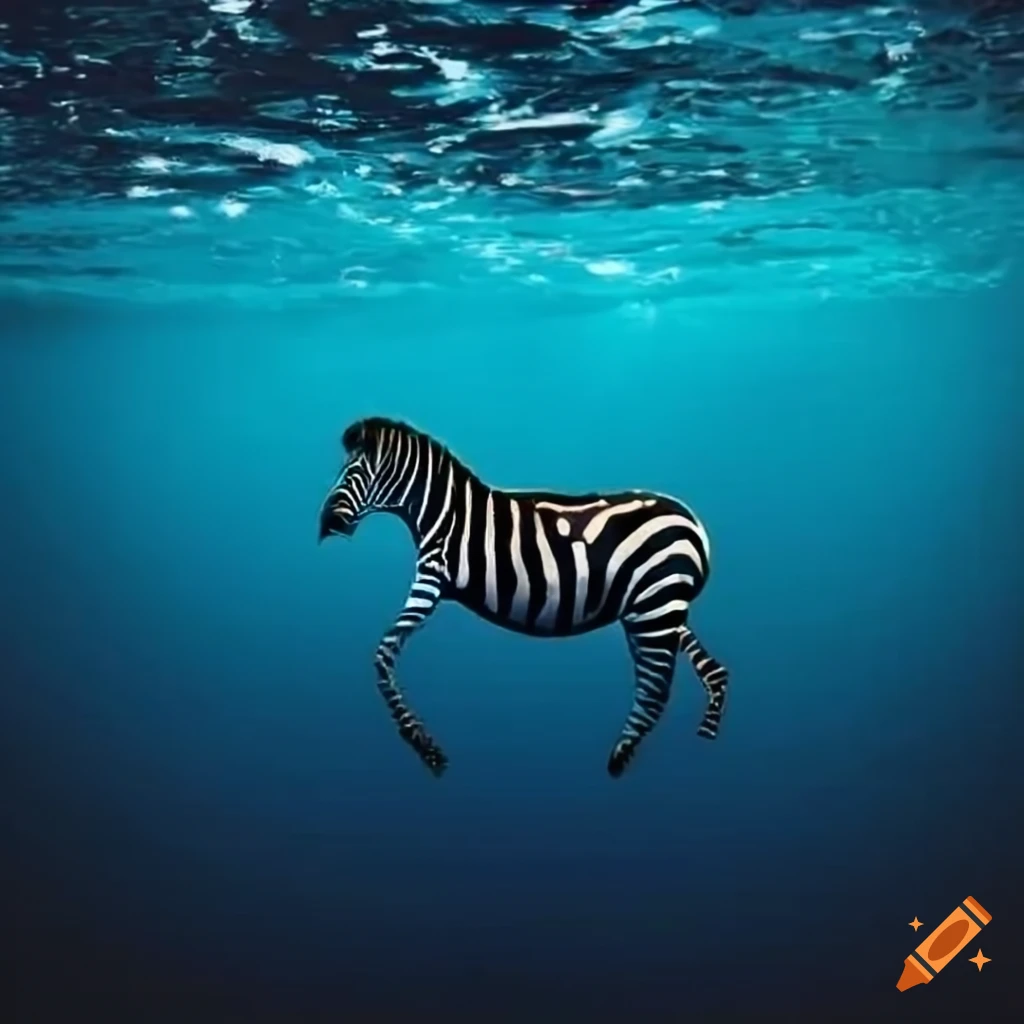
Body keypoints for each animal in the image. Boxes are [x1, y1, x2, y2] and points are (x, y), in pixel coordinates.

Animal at [318, 417, 728, 778]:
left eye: (351, 473)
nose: (324, 527)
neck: (444, 511)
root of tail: (693, 523)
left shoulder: (431, 579)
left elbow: (382, 655)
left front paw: (424, 746)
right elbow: (384, 654)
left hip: (653, 610)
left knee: (655, 689)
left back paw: (619, 759)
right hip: (659, 608)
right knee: (711, 671)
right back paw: (704, 730)